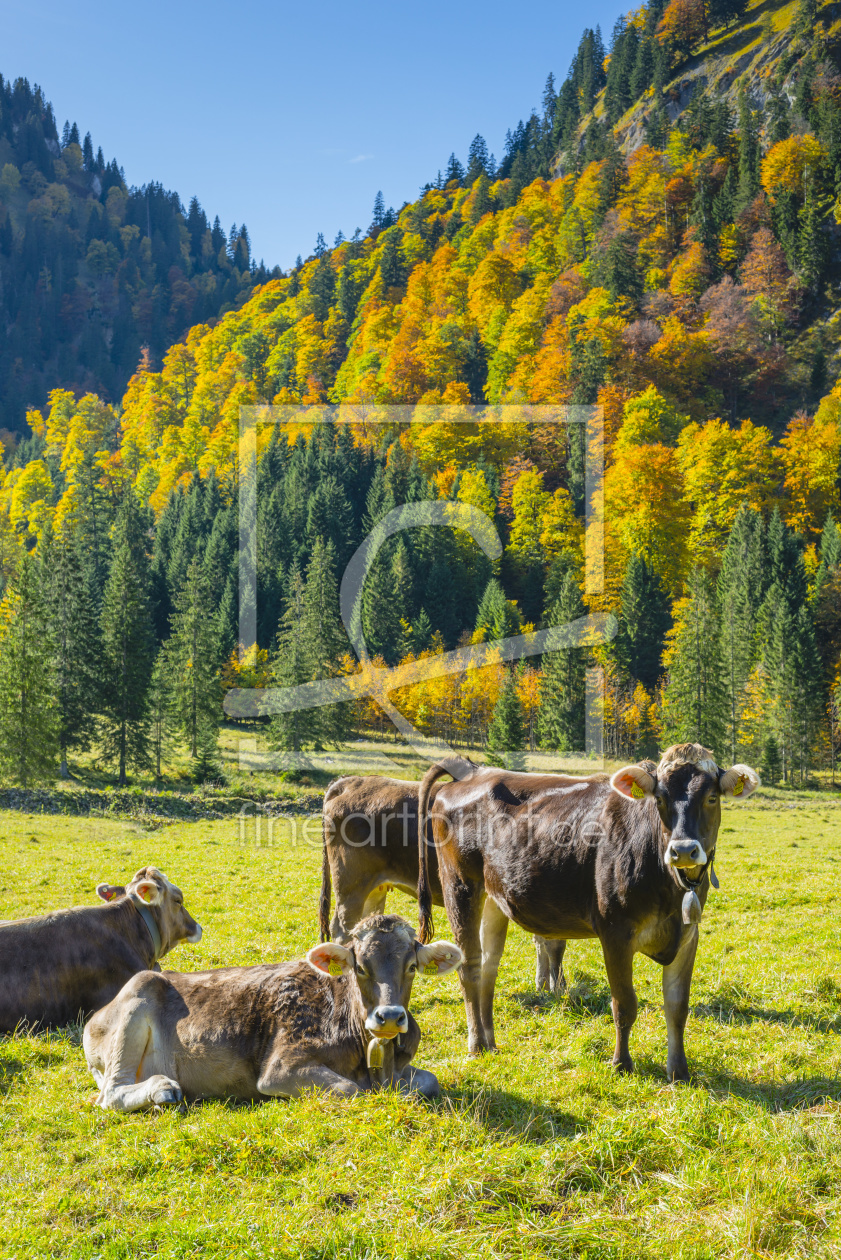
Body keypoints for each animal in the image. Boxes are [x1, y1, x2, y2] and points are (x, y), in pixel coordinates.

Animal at [84, 912, 461, 1108]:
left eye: (411, 967)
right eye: (360, 967)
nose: (390, 1016)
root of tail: (94, 1017)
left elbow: (429, 1081)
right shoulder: (281, 1067)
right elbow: (349, 1089)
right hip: (139, 991)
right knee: (111, 1094)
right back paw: (163, 1088)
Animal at [418, 740, 761, 1078]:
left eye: (712, 797)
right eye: (660, 799)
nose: (683, 850)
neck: (671, 891)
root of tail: (474, 772)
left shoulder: (688, 936)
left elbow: (677, 1007)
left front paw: (679, 1072)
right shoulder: (615, 932)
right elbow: (624, 1004)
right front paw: (621, 1064)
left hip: (495, 897)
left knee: (489, 966)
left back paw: (490, 1041)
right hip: (460, 885)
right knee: (469, 967)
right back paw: (476, 1043)